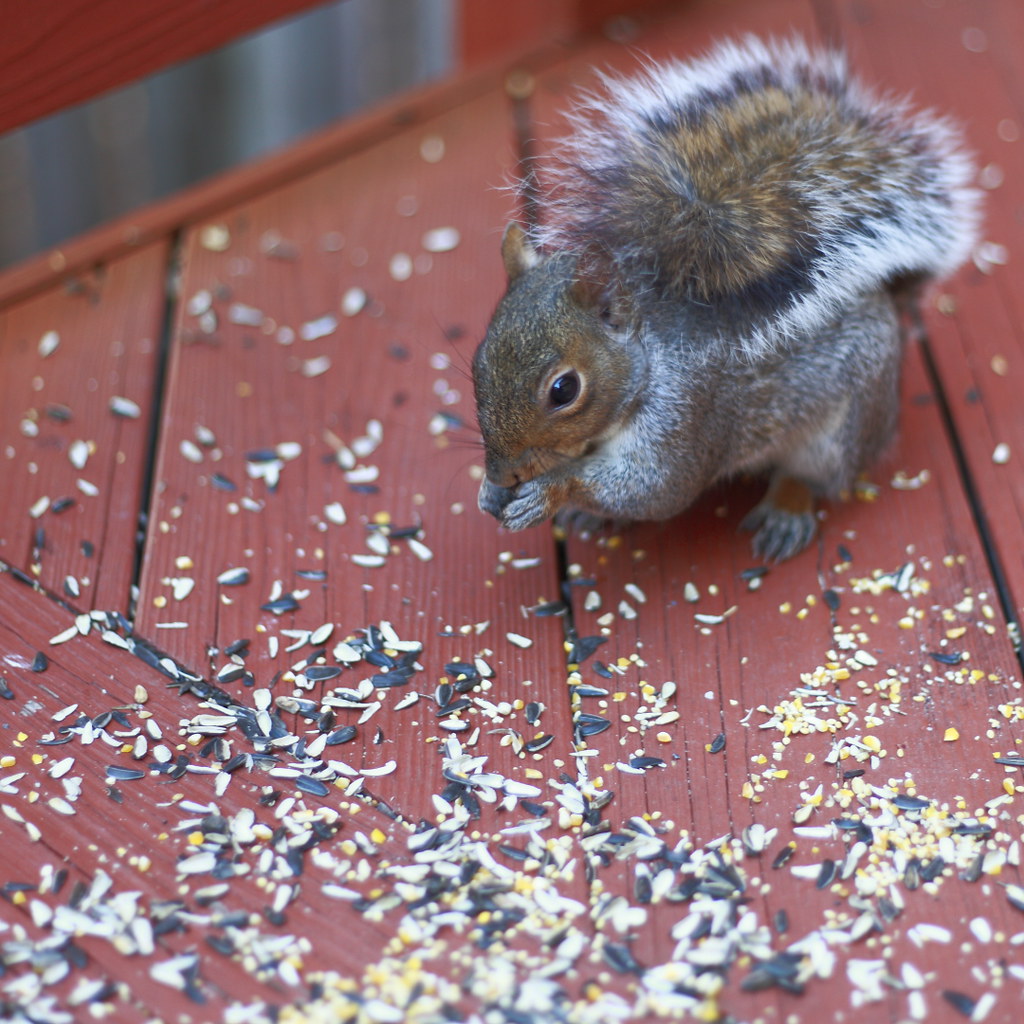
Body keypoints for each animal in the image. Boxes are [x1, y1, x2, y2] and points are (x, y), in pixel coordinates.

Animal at [471, 36, 981, 561]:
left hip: (846, 424)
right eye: (478, 362)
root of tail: (889, 301)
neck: (649, 360)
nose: (502, 473)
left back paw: (786, 510)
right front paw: (493, 492)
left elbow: (654, 490)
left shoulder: (686, 415)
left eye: (564, 390)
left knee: (816, 476)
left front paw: (551, 491)